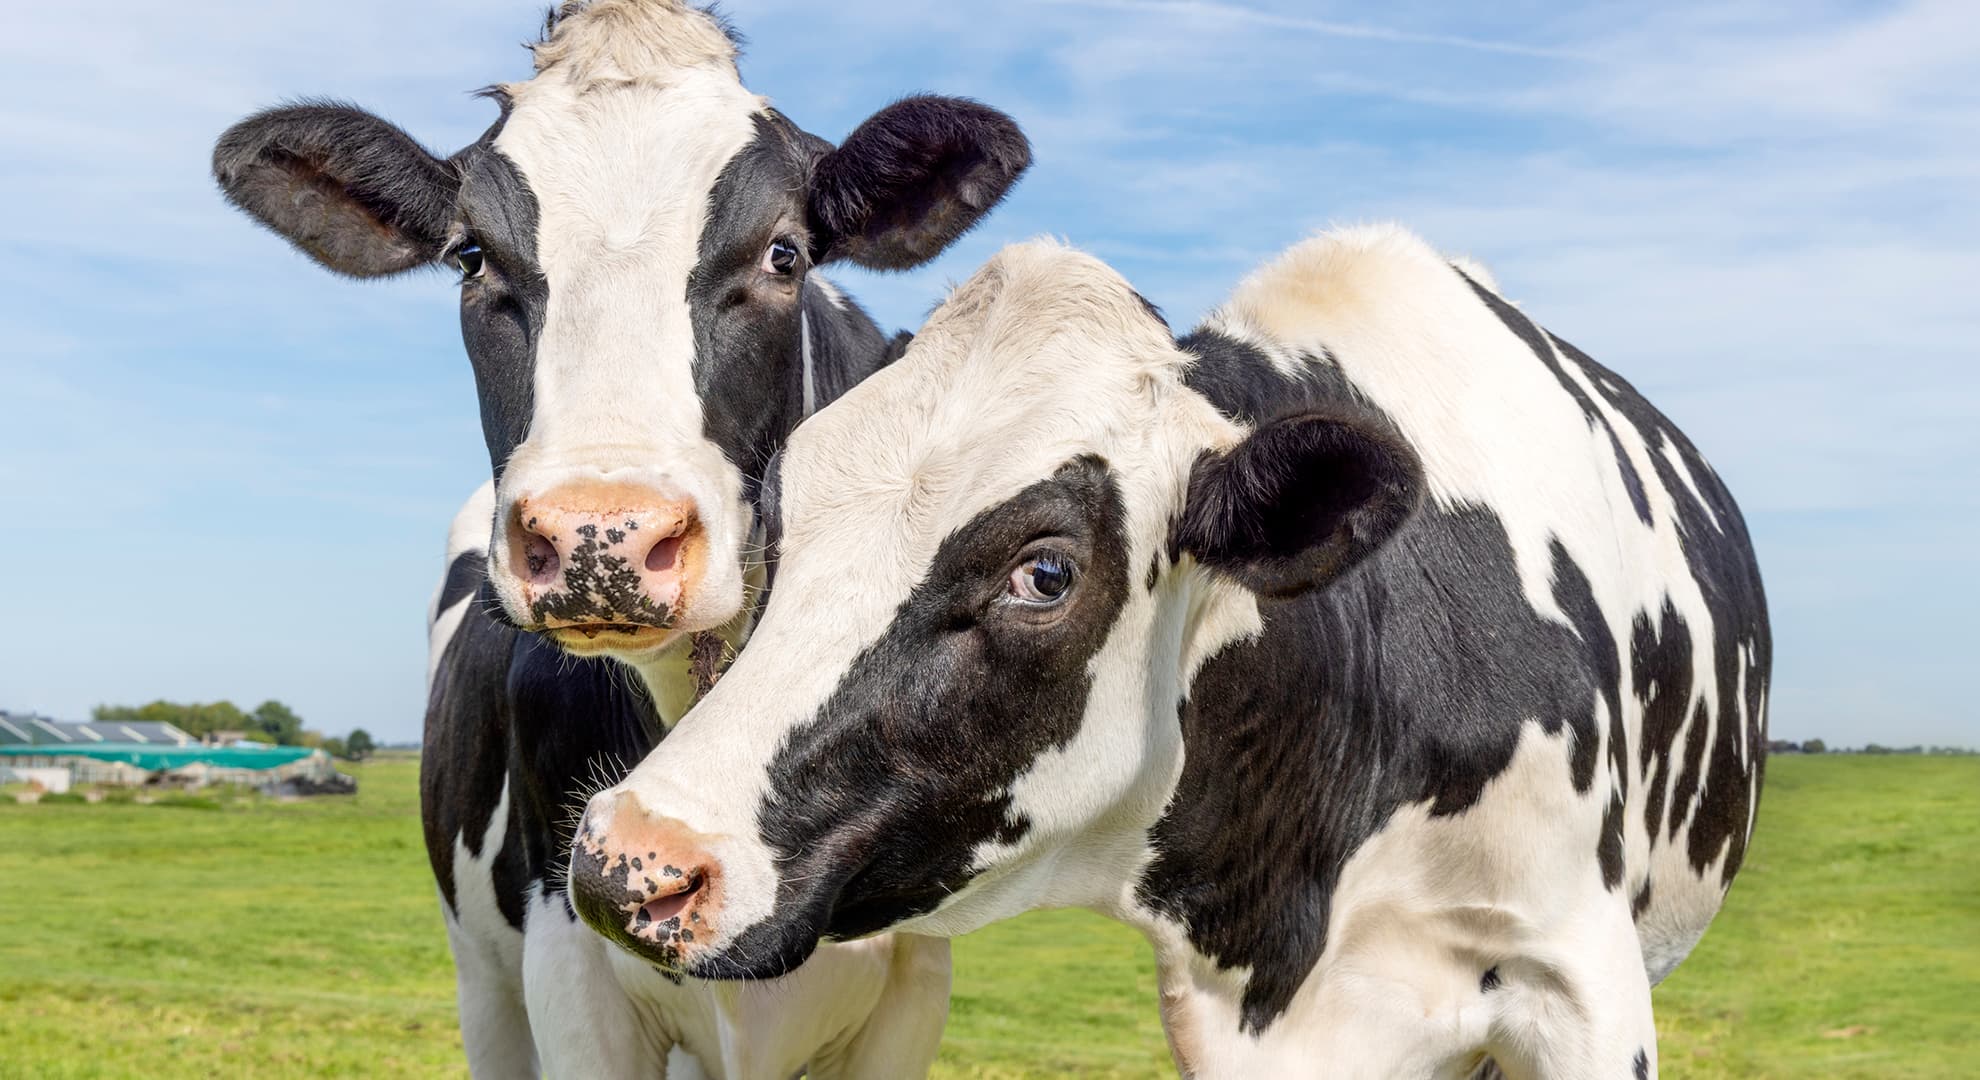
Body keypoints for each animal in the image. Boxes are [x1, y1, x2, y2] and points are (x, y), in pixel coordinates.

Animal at [211, 2, 1029, 1076]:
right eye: (471, 255)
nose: (602, 536)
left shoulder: (913, 983)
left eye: (784, 254)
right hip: (482, 979)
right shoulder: (563, 959)